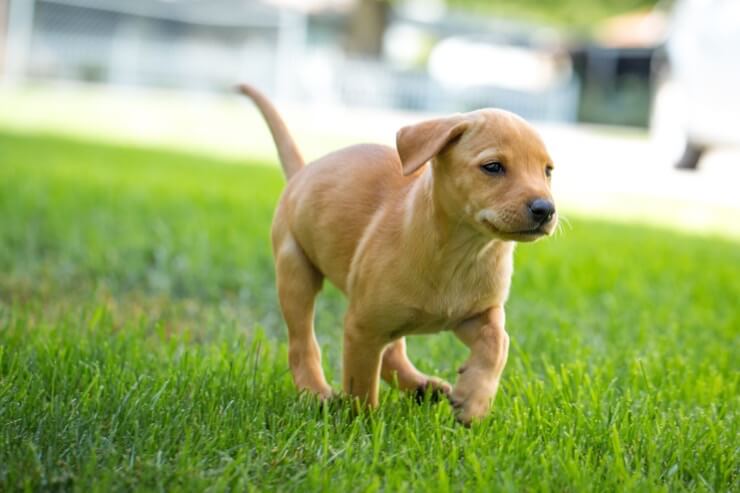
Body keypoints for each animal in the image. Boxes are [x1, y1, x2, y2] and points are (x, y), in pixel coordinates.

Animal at [240, 84, 556, 422]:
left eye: (548, 171)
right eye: (493, 167)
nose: (545, 209)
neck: (464, 251)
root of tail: (304, 171)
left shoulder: (477, 313)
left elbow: (498, 342)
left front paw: (473, 400)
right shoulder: (361, 328)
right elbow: (361, 384)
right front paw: (361, 424)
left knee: (391, 351)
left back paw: (421, 386)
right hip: (296, 271)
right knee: (302, 343)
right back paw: (316, 392)